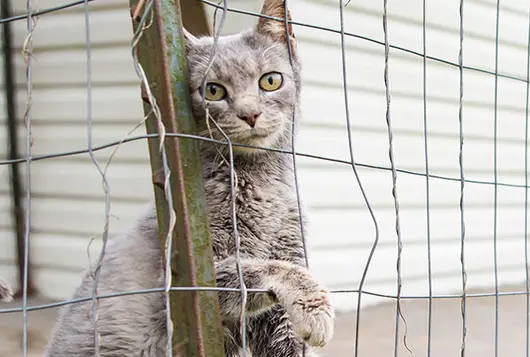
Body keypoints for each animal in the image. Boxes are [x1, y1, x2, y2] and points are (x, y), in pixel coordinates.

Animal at [45, 1, 334, 354]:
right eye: (213, 90)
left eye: (270, 81)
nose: (250, 114)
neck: (261, 183)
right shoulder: (187, 279)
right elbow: (262, 268)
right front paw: (315, 307)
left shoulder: (287, 262)